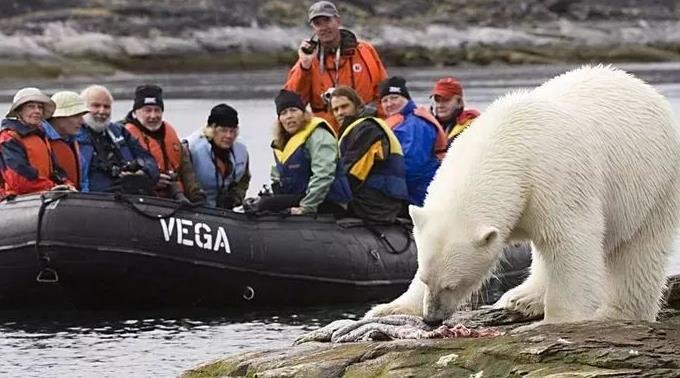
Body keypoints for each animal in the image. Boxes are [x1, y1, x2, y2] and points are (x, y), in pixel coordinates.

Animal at [370, 65, 680, 324]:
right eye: (425, 279)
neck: (507, 141)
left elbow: (571, 240)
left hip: (655, 183)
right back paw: (521, 298)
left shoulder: (557, 178)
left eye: (453, 285)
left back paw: (616, 313)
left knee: (640, 250)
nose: (432, 318)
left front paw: (562, 319)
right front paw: (388, 308)